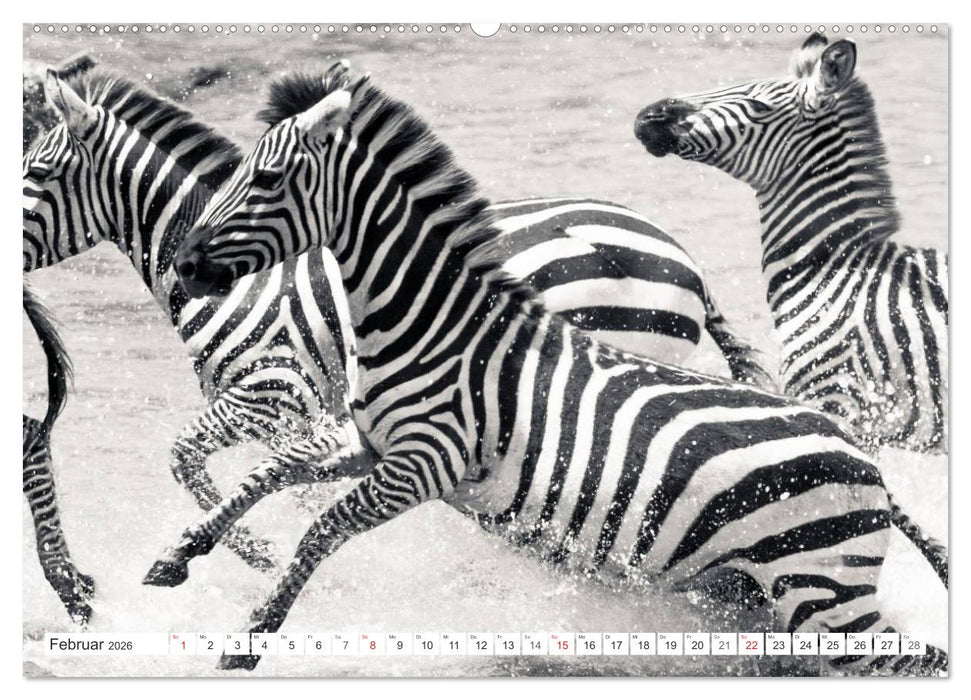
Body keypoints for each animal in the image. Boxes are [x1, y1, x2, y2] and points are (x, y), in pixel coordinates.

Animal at [23, 70, 771, 572]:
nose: (189, 270)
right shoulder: (305, 417)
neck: (248, 285)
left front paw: (255, 554)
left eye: (36, 174)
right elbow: (271, 481)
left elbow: (184, 458)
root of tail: (682, 260)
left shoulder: (273, 394)